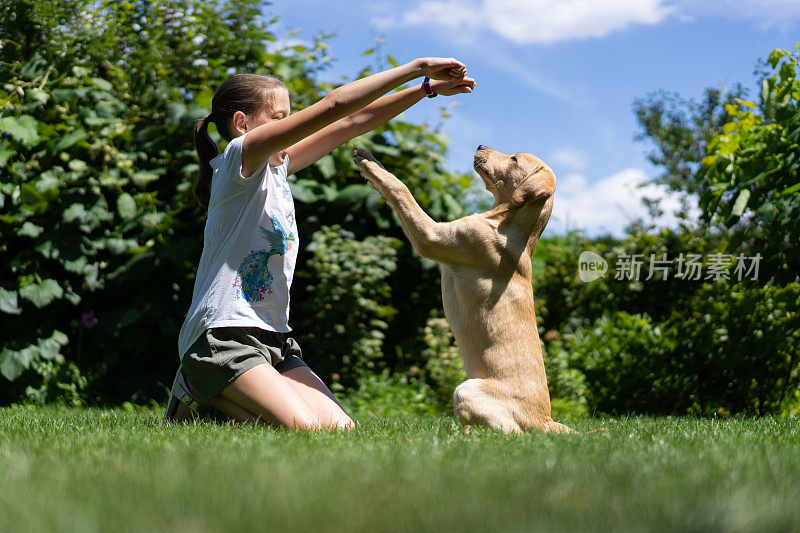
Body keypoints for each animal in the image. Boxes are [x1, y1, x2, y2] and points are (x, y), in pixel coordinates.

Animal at [354, 144, 568, 432]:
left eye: (514, 159)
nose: (480, 146)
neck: (507, 222)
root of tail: (545, 420)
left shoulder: (432, 236)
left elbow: (400, 188)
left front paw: (370, 164)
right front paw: (372, 161)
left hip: (467, 390)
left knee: (509, 432)